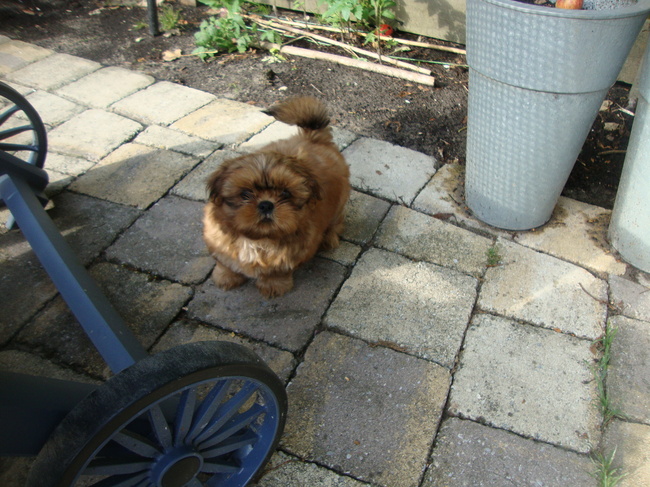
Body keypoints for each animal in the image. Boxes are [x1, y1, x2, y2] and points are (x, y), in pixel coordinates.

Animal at [203, 96, 350, 298]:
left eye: (285, 193)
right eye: (245, 194)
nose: (266, 204)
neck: (259, 239)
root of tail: (314, 138)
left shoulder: (291, 254)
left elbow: (277, 271)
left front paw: (274, 285)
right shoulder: (218, 241)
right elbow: (226, 263)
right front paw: (226, 277)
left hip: (340, 202)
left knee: (336, 221)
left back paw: (329, 239)